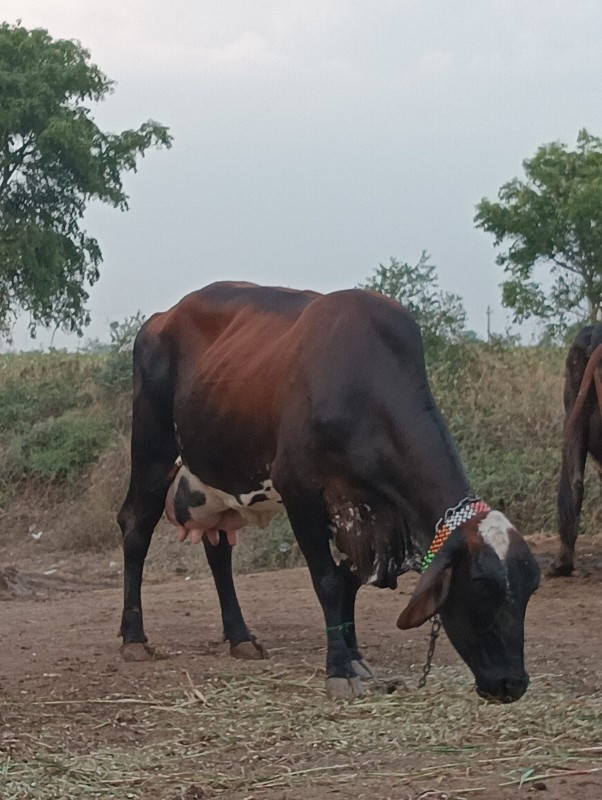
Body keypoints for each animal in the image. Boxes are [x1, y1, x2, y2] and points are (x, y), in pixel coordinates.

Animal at [115, 282, 536, 700]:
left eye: (530, 589)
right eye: (481, 588)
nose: (512, 683)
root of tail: (161, 318)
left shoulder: (359, 512)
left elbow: (349, 583)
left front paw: (355, 658)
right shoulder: (300, 491)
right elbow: (329, 582)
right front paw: (339, 669)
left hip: (214, 477)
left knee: (217, 549)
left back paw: (240, 637)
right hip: (153, 450)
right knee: (136, 526)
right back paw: (134, 639)